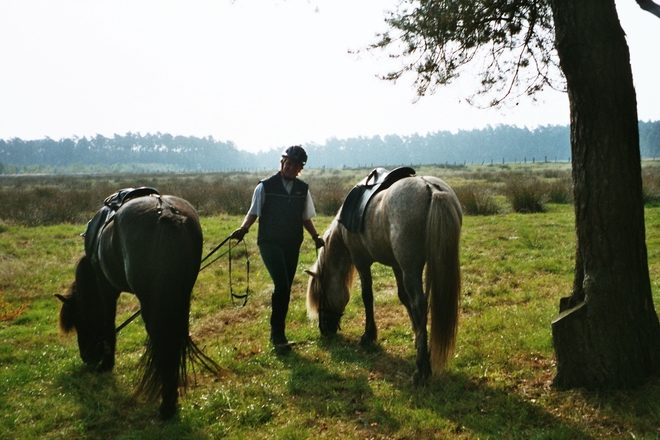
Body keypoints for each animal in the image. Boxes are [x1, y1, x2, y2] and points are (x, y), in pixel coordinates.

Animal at [57, 192, 222, 420]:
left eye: (79, 321)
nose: (88, 357)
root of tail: (167, 212)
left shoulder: (106, 289)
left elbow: (109, 325)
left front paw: (107, 365)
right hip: (180, 298)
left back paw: (166, 405)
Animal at [306, 175, 462, 384]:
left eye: (320, 296)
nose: (324, 329)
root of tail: (431, 188)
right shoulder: (396, 266)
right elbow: (404, 298)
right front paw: (418, 339)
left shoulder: (361, 261)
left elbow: (367, 296)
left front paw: (368, 335)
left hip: (411, 268)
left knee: (419, 304)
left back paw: (421, 370)